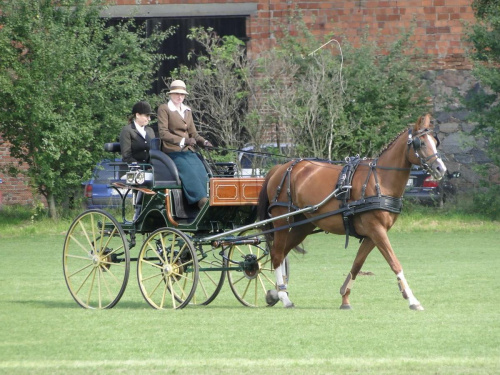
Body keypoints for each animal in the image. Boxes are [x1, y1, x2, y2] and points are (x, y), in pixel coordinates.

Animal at [258, 114, 446, 312]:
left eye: (435, 142)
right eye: (421, 143)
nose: (441, 168)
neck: (380, 180)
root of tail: (279, 168)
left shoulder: (372, 234)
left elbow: (357, 264)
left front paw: (345, 298)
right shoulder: (376, 230)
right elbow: (395, 263)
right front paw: (412, 299)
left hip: (303, 225)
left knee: (281, 253)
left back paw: (278, 292)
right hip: (282, 221)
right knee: (277, 255)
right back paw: (283, 297)